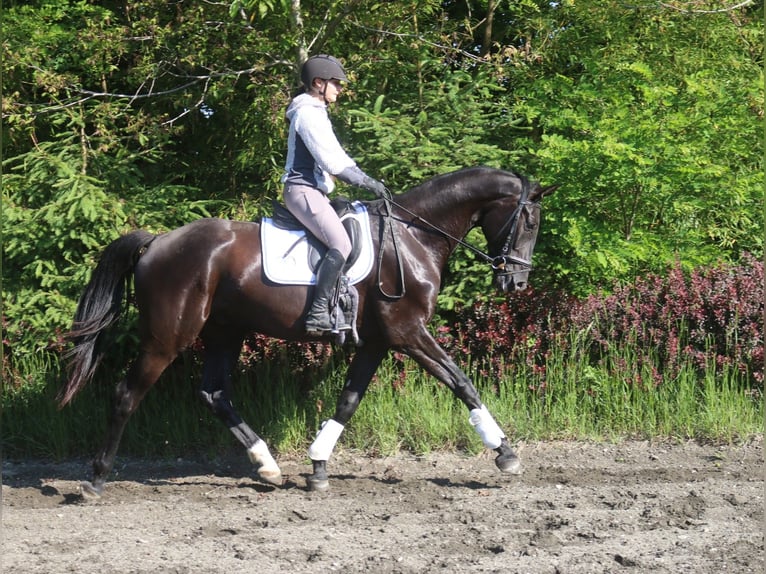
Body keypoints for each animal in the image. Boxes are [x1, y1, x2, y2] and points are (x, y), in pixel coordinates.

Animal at [57, 166, 556, 500]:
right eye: (530, 221)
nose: (516, 282)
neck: (413, 237)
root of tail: (157, 241)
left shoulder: (378, 341)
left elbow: (349, 400)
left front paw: (317, 466)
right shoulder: (409, 333)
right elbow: (461, 382)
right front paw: (505, 454)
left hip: (225, 331)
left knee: (214, 393)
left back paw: (268, 466)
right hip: (168, 337)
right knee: (127, 394)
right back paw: (96, 478)